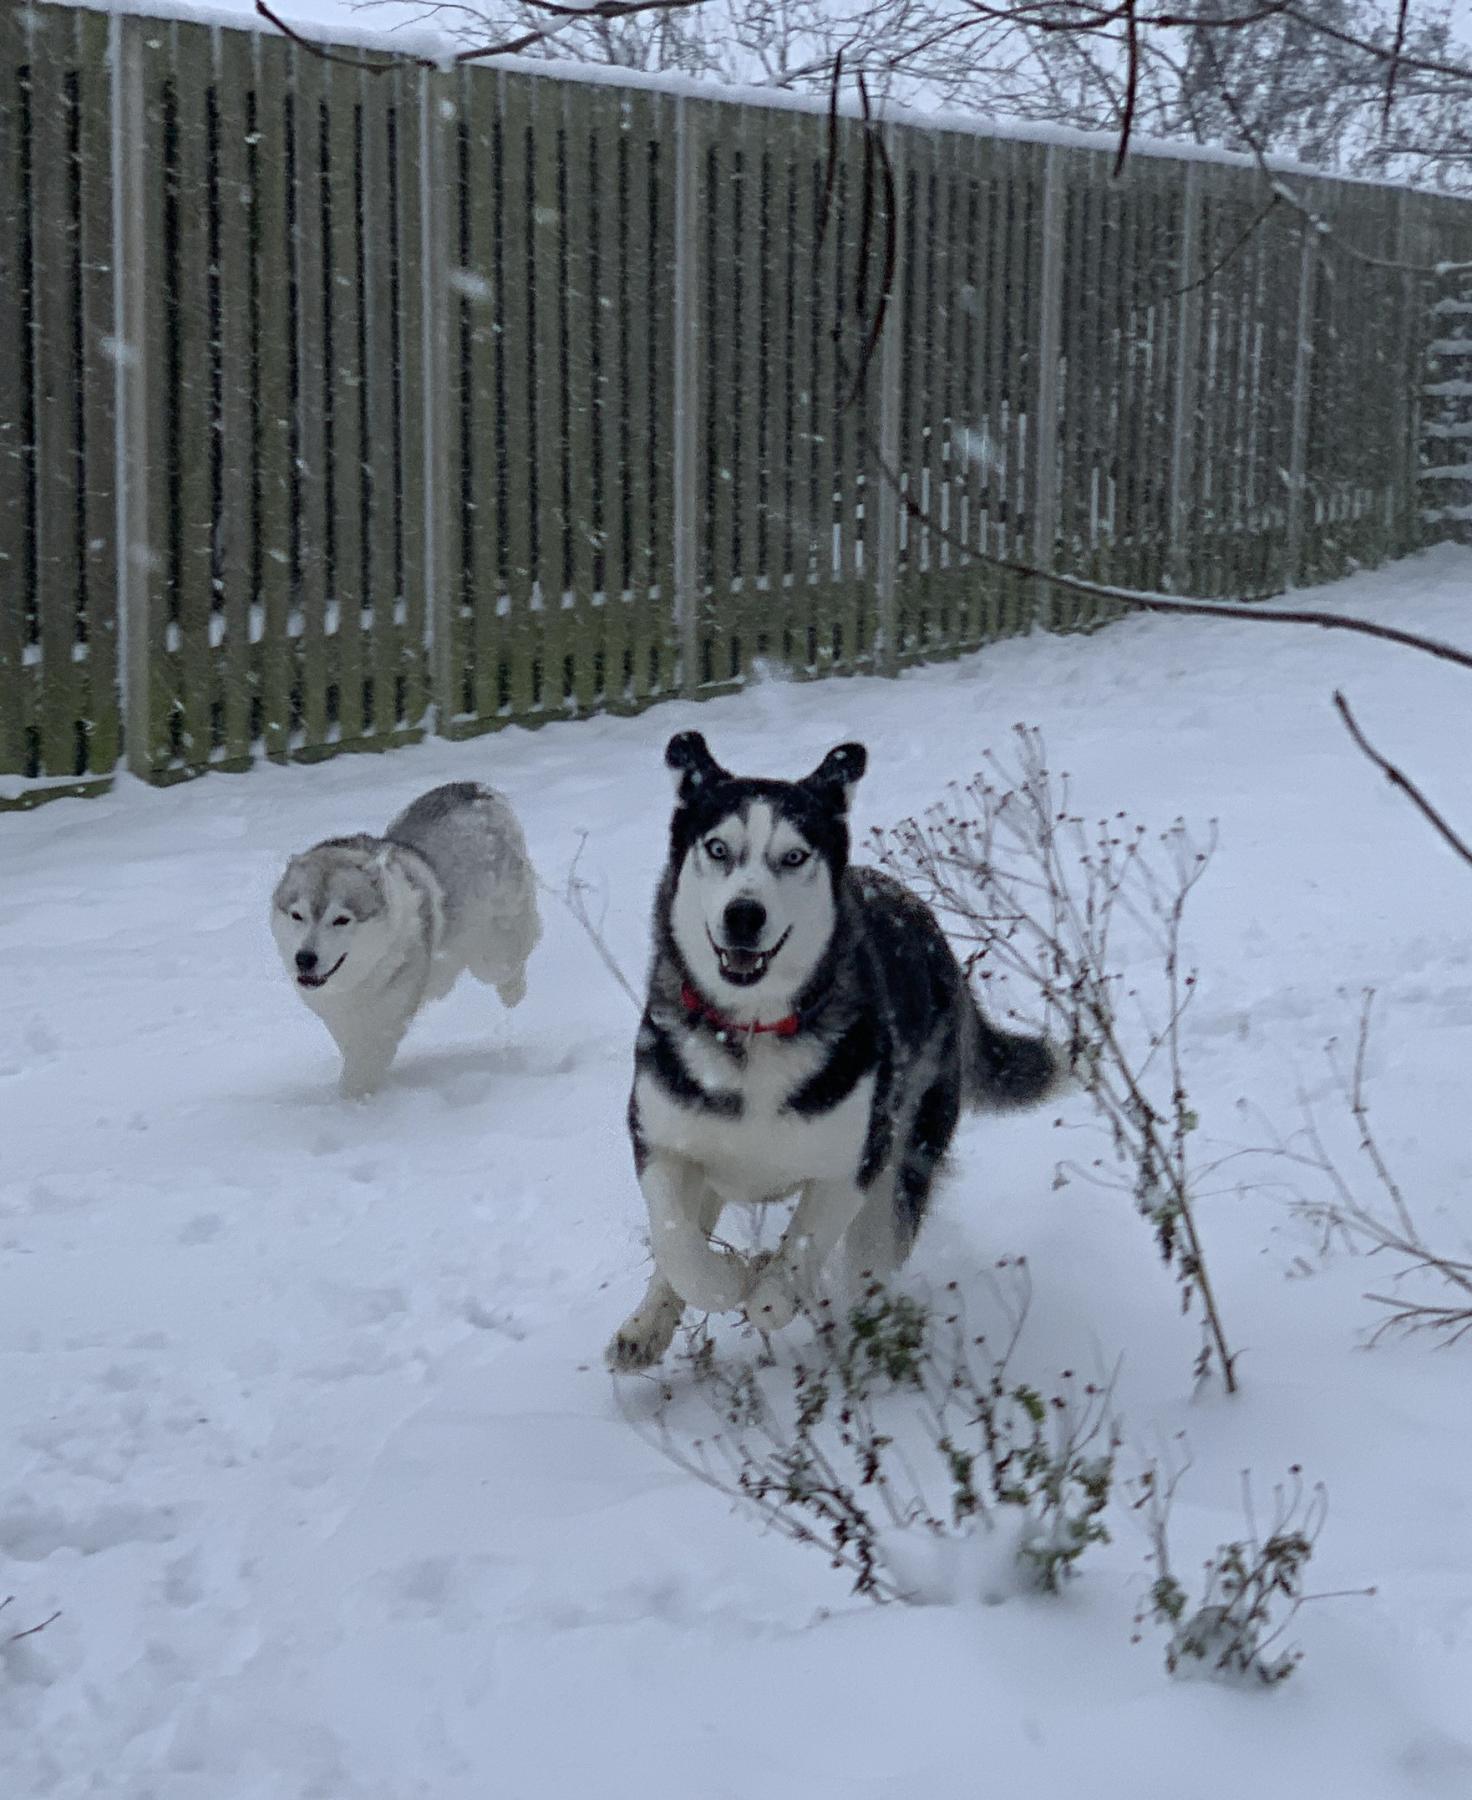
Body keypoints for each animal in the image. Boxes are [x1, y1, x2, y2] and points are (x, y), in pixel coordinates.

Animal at [271, 782, 540, 1095]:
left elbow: (363, 1067)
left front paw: (354, 1102)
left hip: (493, 950)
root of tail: (475, 788)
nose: (304, 959)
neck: (362, 976)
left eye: (341, 919)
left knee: (515, 955)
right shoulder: (340, 1017)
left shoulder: (384, 1021)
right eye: (297, 915)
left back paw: (513, 991)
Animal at [607, 732, 1062, 1369]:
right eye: (718, 848)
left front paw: (771, 1289)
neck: (755, 1031)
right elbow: (680, 1248)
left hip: (909, 1150)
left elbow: (799, 1251)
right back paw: (646, 1324)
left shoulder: (856, 1159)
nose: (744, 914)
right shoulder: (662, 1140)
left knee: (871, 1256)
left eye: (794, 856)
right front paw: (729, 1278)